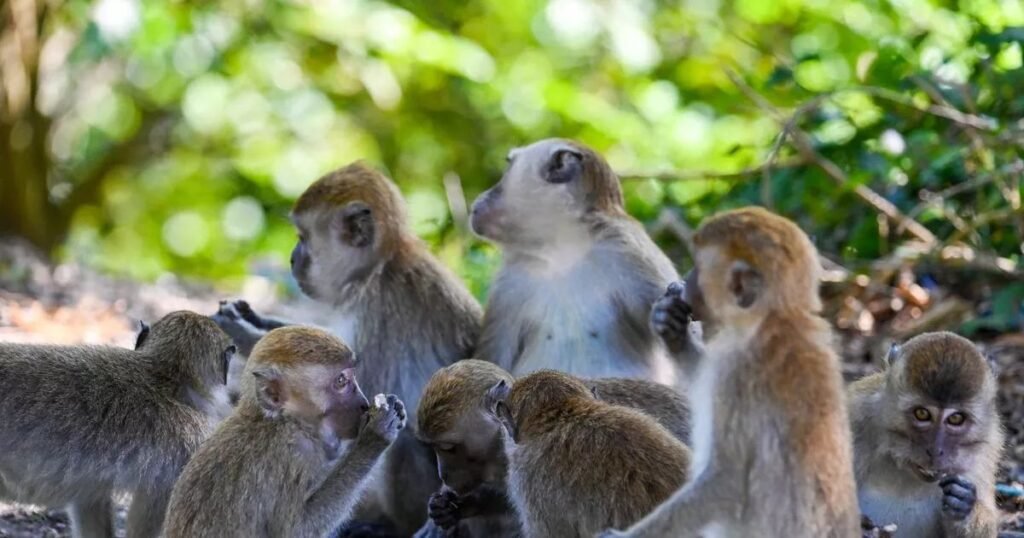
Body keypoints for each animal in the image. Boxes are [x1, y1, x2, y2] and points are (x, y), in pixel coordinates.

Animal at [164, 326, 406, 538]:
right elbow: (297, 529)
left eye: (351, 377)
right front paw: (375, 437)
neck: (285, 422)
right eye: (341, 381)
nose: (363, 403)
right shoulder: (293, 454)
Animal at [213, 162, 483, 535]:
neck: (377, 267)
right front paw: (253, 320)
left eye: (303, 237)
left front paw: (244, 334)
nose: (293, 258)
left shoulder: (376, 310)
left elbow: (361, 390)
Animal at [470, 138, 686, 383]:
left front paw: (672, 322)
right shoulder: (511, 282)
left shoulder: (632, 252)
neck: (563, 249)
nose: (482, 197)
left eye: (508, 166)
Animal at [601, 207, 860, 538]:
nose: (686, 279)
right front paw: (672, 330)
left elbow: (727, 479)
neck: (774, 320)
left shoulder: (736, 374)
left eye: (699, 267)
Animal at [847, 331, 1004, 538]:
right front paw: (862, 526)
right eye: (922, 414)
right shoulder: (855, 415)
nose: (935, 451)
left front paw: (964, 506)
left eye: (956, 418)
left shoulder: (984, 451)